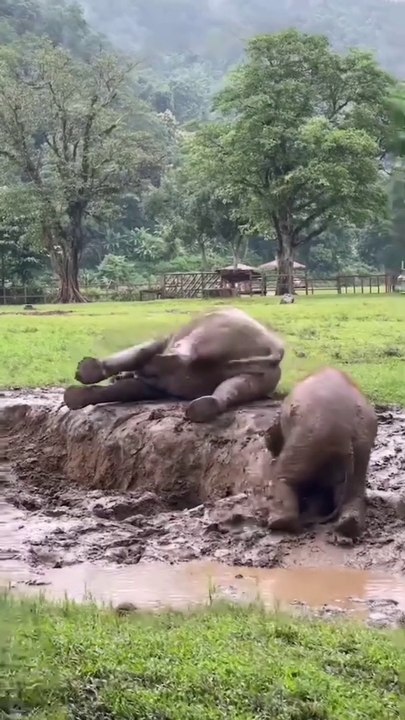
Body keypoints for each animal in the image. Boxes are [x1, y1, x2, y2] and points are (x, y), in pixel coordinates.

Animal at [63, 307, 285, 423]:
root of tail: (275, 347)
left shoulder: (160, 342)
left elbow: (143, 352)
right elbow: (130, 389)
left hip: (217, 331)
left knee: (181, 352)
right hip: (264, 377)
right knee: (235, 386)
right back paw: (203, 407)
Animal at [264, 367, 378, 538]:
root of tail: (346, 432)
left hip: (310, 435)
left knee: (284, 475)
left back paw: (279, 524)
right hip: (361, 443)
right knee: (355, 489)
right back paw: (348, 526)